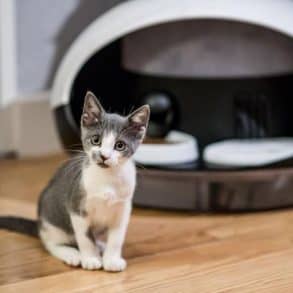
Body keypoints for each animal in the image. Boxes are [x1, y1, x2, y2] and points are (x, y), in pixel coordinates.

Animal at [0, 92, 149, 272]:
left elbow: (116, 238)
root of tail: (39, 224)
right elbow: (85, 238)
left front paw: (111, 259)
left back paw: (100, 246)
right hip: (52, 221)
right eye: (96, 140)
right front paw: (90, 258)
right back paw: (71, 254)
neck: (107, 178)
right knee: (50, 243)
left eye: (120, 145)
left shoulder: (123, 209)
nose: (104, 156)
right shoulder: (77, 206)